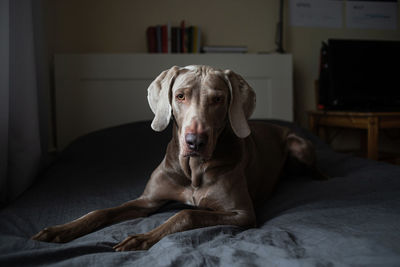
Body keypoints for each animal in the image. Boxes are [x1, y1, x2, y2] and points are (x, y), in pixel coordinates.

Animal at [32, 65, 318, 251]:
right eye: (180, 96)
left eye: (218, 99)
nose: (195, 142)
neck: (192, 169)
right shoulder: (147, 201)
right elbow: (101, 211)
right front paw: (60, 230)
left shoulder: (242, 213)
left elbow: (185, 214)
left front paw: (141, 238)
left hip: (299, 145)